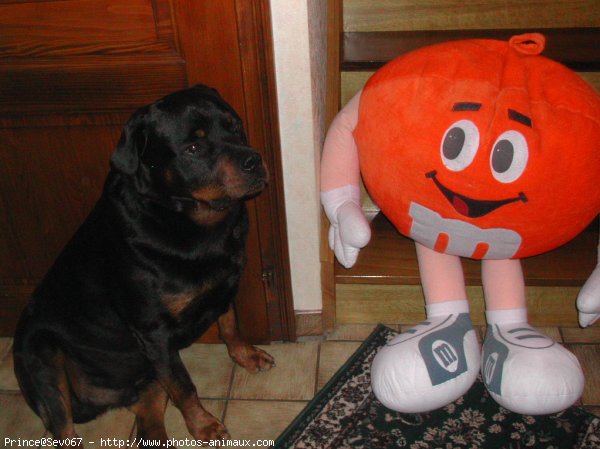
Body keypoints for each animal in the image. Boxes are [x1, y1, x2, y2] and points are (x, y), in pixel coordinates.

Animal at [12, 84, 274, 444]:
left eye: (234, 125)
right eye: (193, 148)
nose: (253, 160)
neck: (189, 222)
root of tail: (106, 399)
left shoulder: (222, 286)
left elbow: (230, 324)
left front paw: (246, 355)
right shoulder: (155, 335)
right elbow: (185, 386)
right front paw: (203, 424)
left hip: (149, 377)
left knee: (148, 425)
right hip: (44, 356)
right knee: (64, 428)